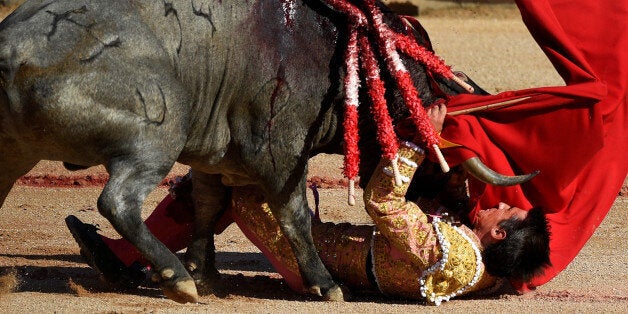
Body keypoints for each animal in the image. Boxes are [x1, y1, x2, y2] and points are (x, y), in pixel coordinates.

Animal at [0, 0, 528, 304]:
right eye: (452, 173)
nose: (457, 213)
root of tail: (11, 46)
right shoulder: (281, 155)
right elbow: (294, 216)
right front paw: (325, 284)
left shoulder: (214, 155)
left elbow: (206, 204)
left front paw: (208, 273)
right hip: (154, 140)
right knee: (118, 200)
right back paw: (174, 277)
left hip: (14, 152)